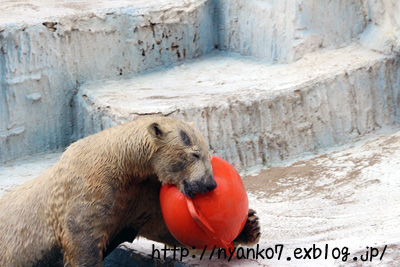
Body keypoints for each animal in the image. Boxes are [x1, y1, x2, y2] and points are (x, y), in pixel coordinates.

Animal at [0, 116, 260, 266]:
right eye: (194, 154)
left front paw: (250, 225)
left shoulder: (140, 196)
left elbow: (168, 229)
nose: (209, 184)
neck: (125, 165)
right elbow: (82, 239)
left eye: (208, 153)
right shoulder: (89, 188)